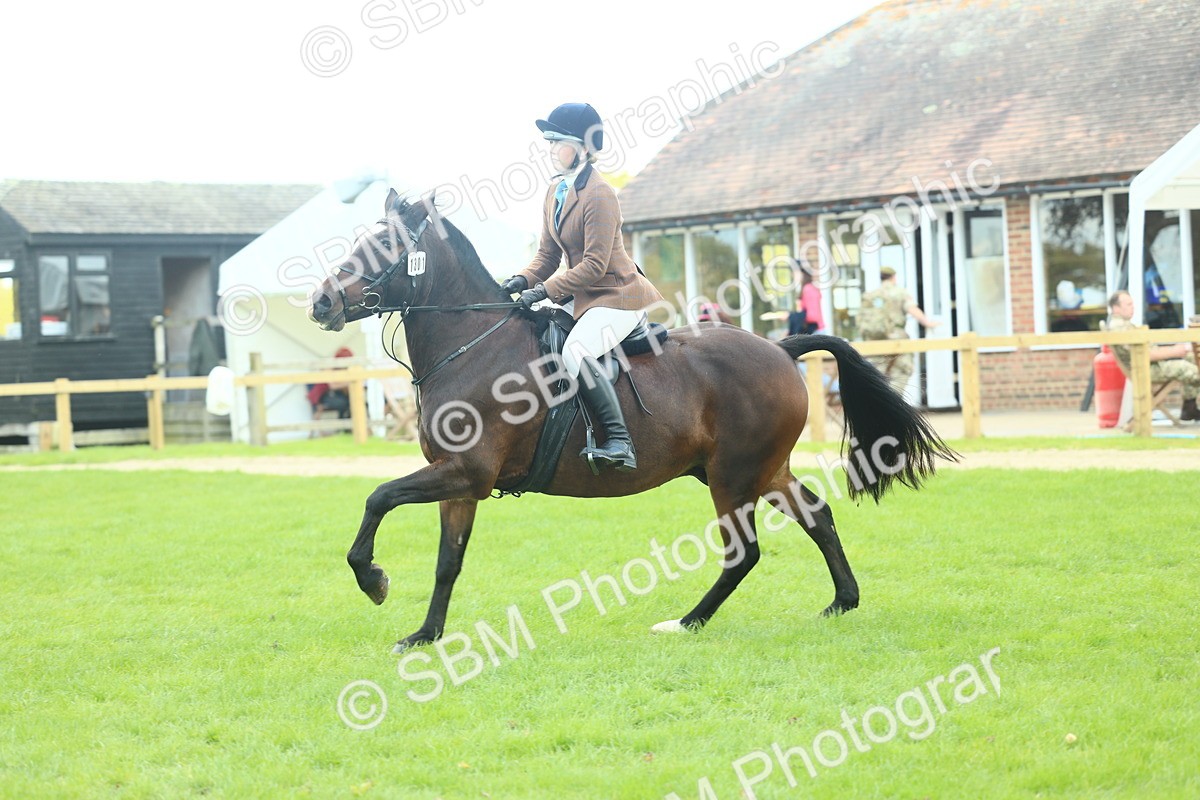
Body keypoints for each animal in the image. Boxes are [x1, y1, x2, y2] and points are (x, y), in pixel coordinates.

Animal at [309, 189, 957, 653]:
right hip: (760, 470)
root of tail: (780, 348)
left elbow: (377, 497)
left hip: (733, 477)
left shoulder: (467, 471)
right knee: (816, 515)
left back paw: (687, 622)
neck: (473, 345)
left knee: (742, 553)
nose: (321, 302)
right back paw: (841, 602)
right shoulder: (459, 482)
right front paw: (425, 635)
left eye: (385, 245)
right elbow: (448, 561)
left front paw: (373, 581)